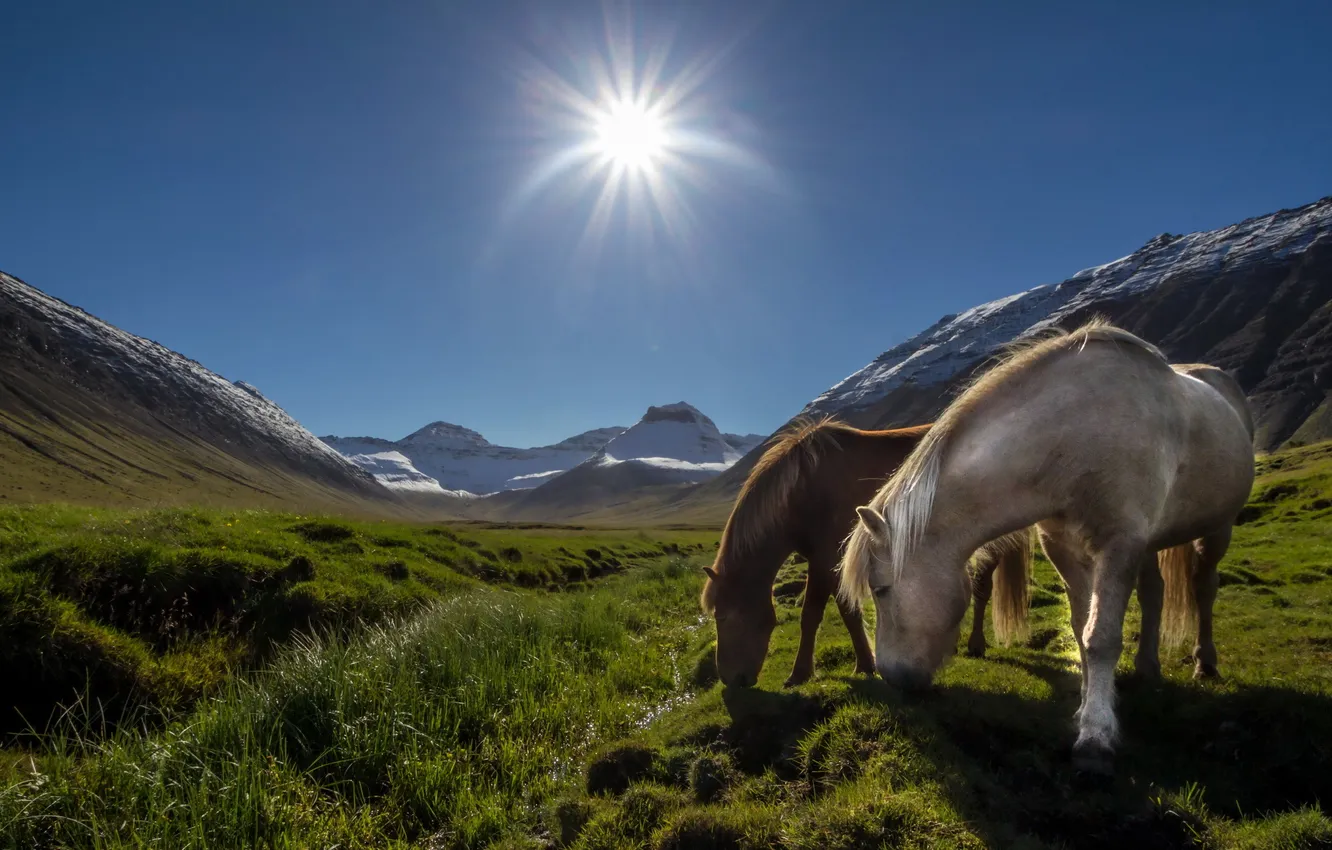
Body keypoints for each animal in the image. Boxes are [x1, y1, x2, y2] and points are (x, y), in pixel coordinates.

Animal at [699, 418, 1033, 689]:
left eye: (724, 617)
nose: (729, 679)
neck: (804, 489)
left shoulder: (825, 560)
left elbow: (816, 615)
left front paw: (805, 672)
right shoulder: (826, 562)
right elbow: (844, 612)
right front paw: (859, 663)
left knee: (982, 588)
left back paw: (976, 643)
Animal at [838, 319, 1255, 775]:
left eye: (880, 589)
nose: (890, 676)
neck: (1071, 438)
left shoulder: (1120, 542)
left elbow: (1100, 637)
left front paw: (1095, 738)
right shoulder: (1064, 548)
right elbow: (1080, 629)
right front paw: (1087, 710)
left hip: (1216, 530)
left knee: (1204, 588)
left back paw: (1205, 662)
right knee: (1154, 594)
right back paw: (1147, 667)